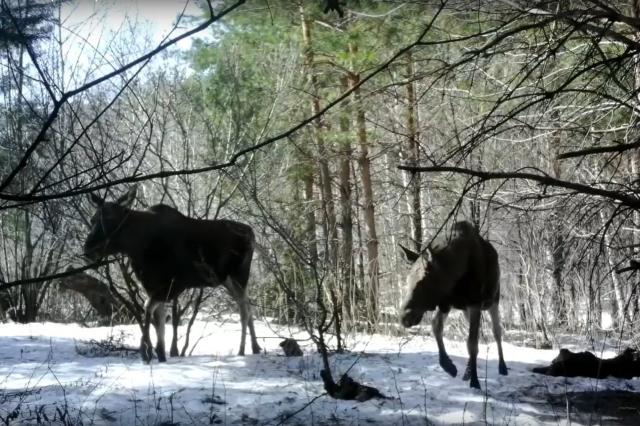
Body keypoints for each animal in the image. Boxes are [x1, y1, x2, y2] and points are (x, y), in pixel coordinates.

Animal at [84, 188, 262, 362]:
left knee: (244, 308)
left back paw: (242, 349)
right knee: (246, 304)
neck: (137, 247)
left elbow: (149, 308)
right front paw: (160, 353)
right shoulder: (153, 286)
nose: (88, 249)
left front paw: (147, 350)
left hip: (239, 274)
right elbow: (159, 320)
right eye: (92, 220)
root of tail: (252, 232)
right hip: (227, 279)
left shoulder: (173, 285)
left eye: (111, 218)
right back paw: (255, 347)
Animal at [398, 221, 508, 392]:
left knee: (497, 331)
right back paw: (468, 370)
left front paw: (475, 382)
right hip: (466, 310)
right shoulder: (446, 302)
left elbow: (472, 344)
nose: (404, 317)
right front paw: (449, 366)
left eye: (422, 282)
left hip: (493, 300)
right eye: (407, 280)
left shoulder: (475, 303)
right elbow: (436, 327)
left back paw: (502, 367)